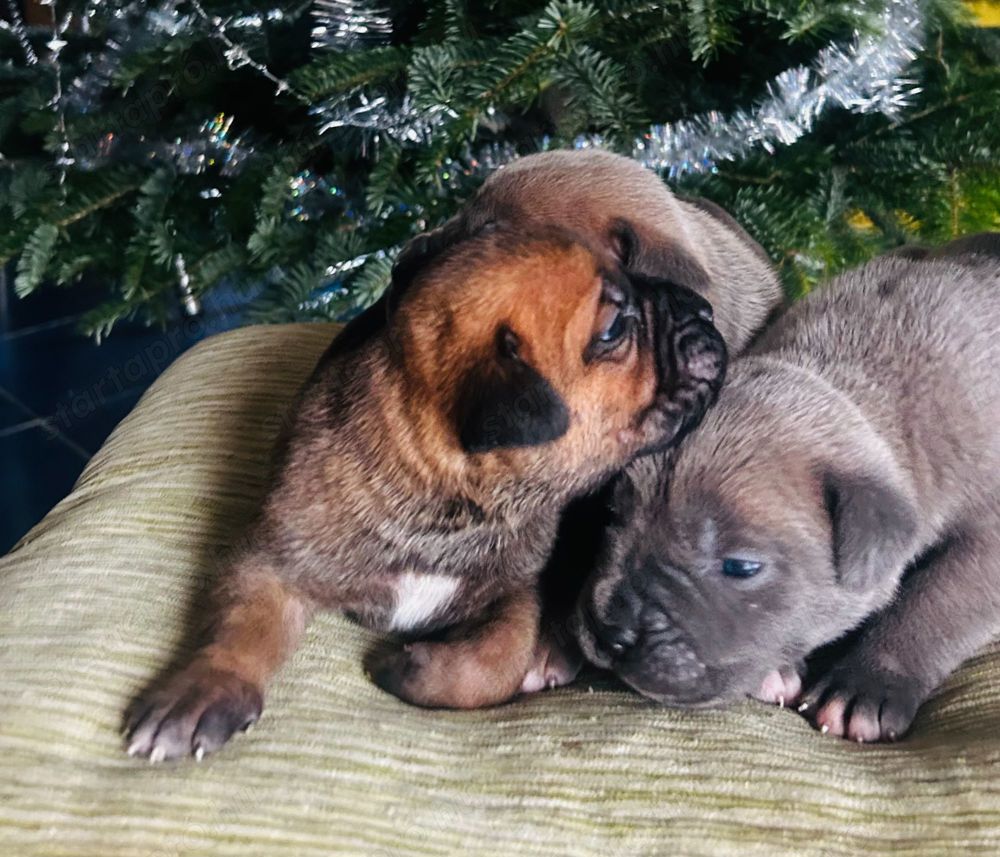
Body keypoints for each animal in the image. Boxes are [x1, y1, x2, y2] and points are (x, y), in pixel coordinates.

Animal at [576, 234, 1000, 744]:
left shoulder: (987, 542)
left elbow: (934, 604)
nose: (608, 630)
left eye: (741, 567)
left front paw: (866, 684)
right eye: (613, 516)